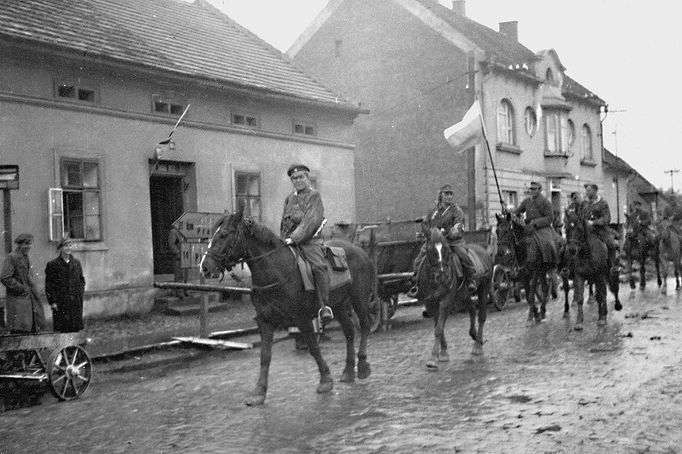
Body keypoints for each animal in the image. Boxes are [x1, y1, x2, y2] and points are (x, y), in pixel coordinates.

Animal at [199, 204, 374, 406]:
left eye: (224, 235)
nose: (205, 267)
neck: (277, 271)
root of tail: (360, 251)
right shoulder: (265, 321)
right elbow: (265, 356)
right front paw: (259, 392)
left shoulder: (303, 319)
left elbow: (314, 348)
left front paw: (325, 380)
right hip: (339, 305)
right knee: (349, 331)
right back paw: (348, 371)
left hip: (359, 298)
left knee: (365, 325)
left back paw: (362, 365)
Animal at [420, 227, 488, 368]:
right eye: (430, 250)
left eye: (446, 249)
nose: (442, 276)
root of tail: (483, 250)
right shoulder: (430, 303)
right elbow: (438, 326)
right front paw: (443, 352)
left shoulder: (446, 301)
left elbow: (439, 328)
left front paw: (433, 357)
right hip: (464, 295)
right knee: (472, 309)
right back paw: (474, 335)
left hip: (484, 288)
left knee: (481, 316)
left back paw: (477, 346)